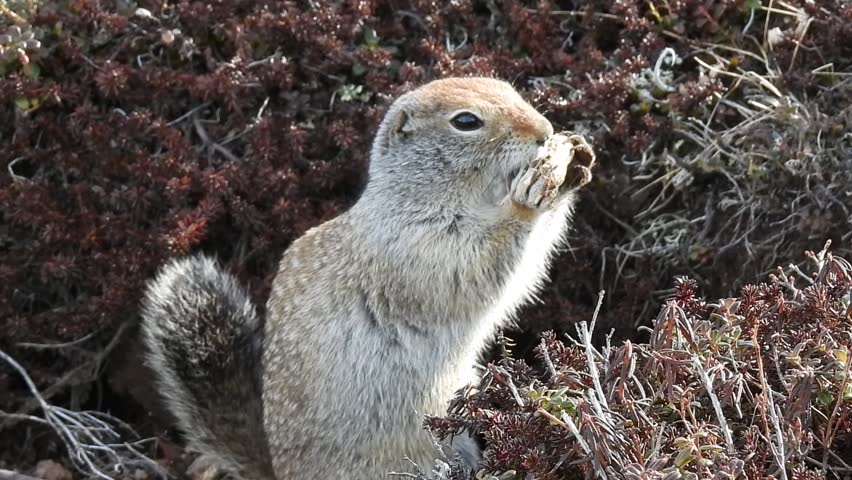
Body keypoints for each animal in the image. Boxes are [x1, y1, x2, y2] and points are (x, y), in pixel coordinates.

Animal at [140, 77, 594, 479]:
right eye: (466, 121)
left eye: (509, 89)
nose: (544, 131)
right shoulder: (420, 252)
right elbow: (481, 265)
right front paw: (532, 197)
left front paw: (573, 159)